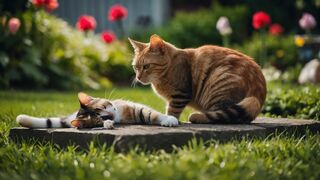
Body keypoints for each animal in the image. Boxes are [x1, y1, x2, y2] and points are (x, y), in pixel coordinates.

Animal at [129, 34, 266, 124]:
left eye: (146, 66)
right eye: (135, 67)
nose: (138, 77)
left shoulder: (180, 95)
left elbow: (172, 112)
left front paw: (170, 120)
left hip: (219, 79)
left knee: (220, 116)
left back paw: (197, 117)